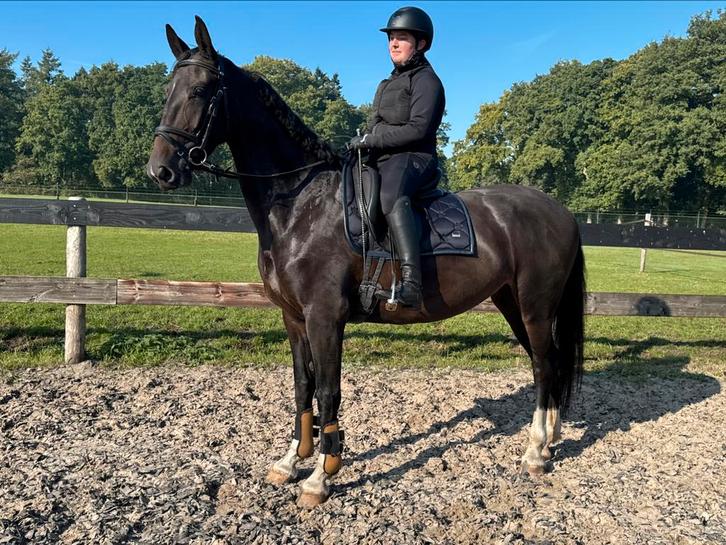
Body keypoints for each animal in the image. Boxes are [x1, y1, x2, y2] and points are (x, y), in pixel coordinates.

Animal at [147, 17, 585, 508]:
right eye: (169, 89)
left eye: (200, 90)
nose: (160, 171)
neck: (302, 204)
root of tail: (560, 211)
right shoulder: (294, 318)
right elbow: (302, 387)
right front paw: (291, 461)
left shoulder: (325, 317)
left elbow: (328, 391)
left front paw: (321, 476)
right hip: (514, 303)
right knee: (546, 363)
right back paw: (548, 441)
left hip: (534, 305)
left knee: (545, 365)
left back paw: (535, 452)